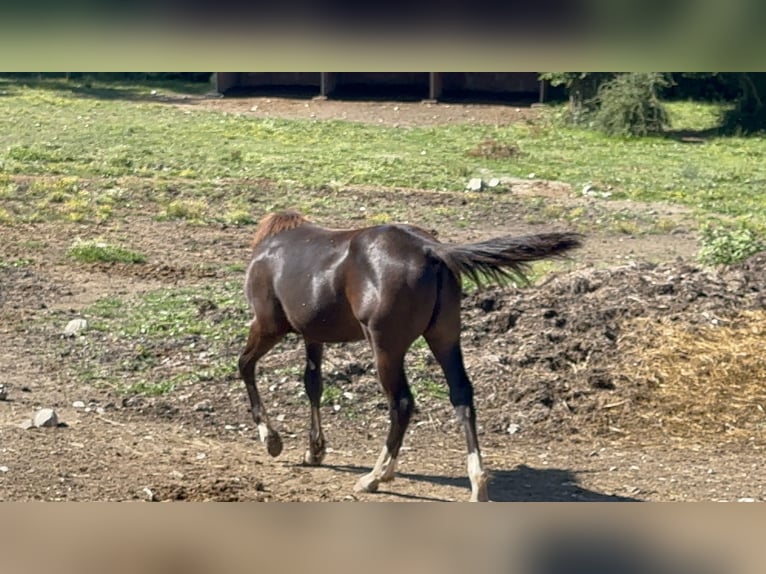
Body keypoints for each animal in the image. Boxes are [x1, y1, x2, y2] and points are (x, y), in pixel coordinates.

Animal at [238, 211, 582, 501]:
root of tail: (431, 250)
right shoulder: (313, 335)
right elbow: (313, 384)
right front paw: (314, 451)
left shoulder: (268, 325)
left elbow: (245, 366)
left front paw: (271, 440)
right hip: (444, 337)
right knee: (461, 394)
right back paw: (478, 483)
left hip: (385, 347)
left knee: (402, 403)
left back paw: (376, 476)